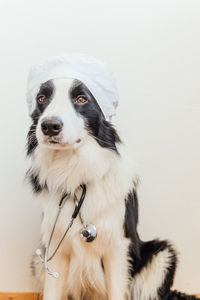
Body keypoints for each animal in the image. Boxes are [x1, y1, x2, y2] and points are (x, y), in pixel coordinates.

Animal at [26, 77, 197, 300]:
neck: (76, 172)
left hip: (161, 253)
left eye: (81, 99)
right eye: (42, 98)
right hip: (38, 261)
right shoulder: (55, 246)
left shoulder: (117, 246)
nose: (49, 126)